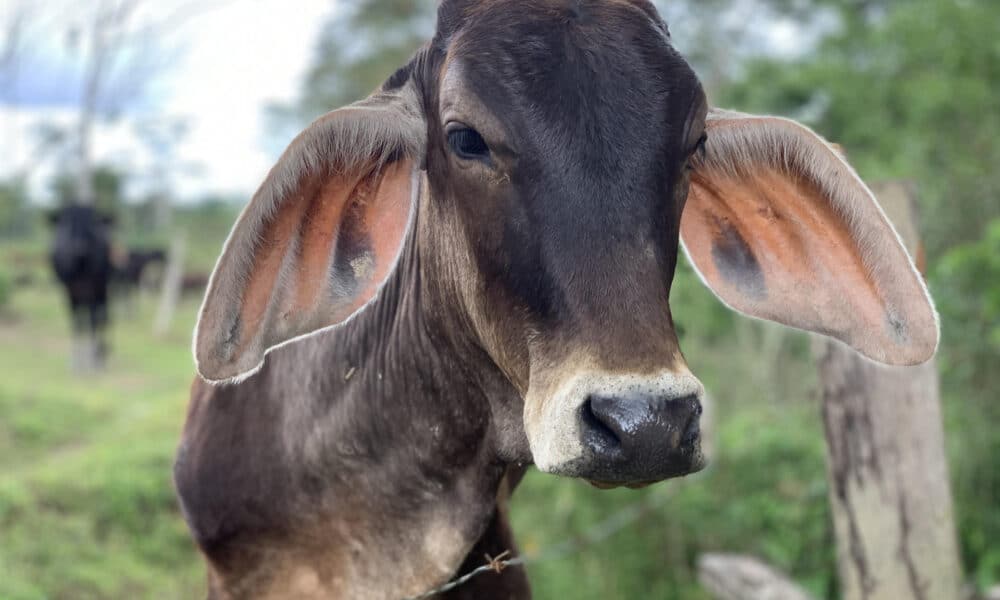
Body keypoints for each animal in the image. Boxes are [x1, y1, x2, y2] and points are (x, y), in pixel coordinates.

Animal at [49, 209, 115, 372]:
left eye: (90, 226)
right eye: (69, 226)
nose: (79, 247)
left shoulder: (95, 290)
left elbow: (94, 322)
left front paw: (94, 362)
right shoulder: (70, 293)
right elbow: (76, 324)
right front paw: (77, 363)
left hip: (101, 291)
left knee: (102, 317)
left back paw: (102, 353)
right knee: (86, 320)